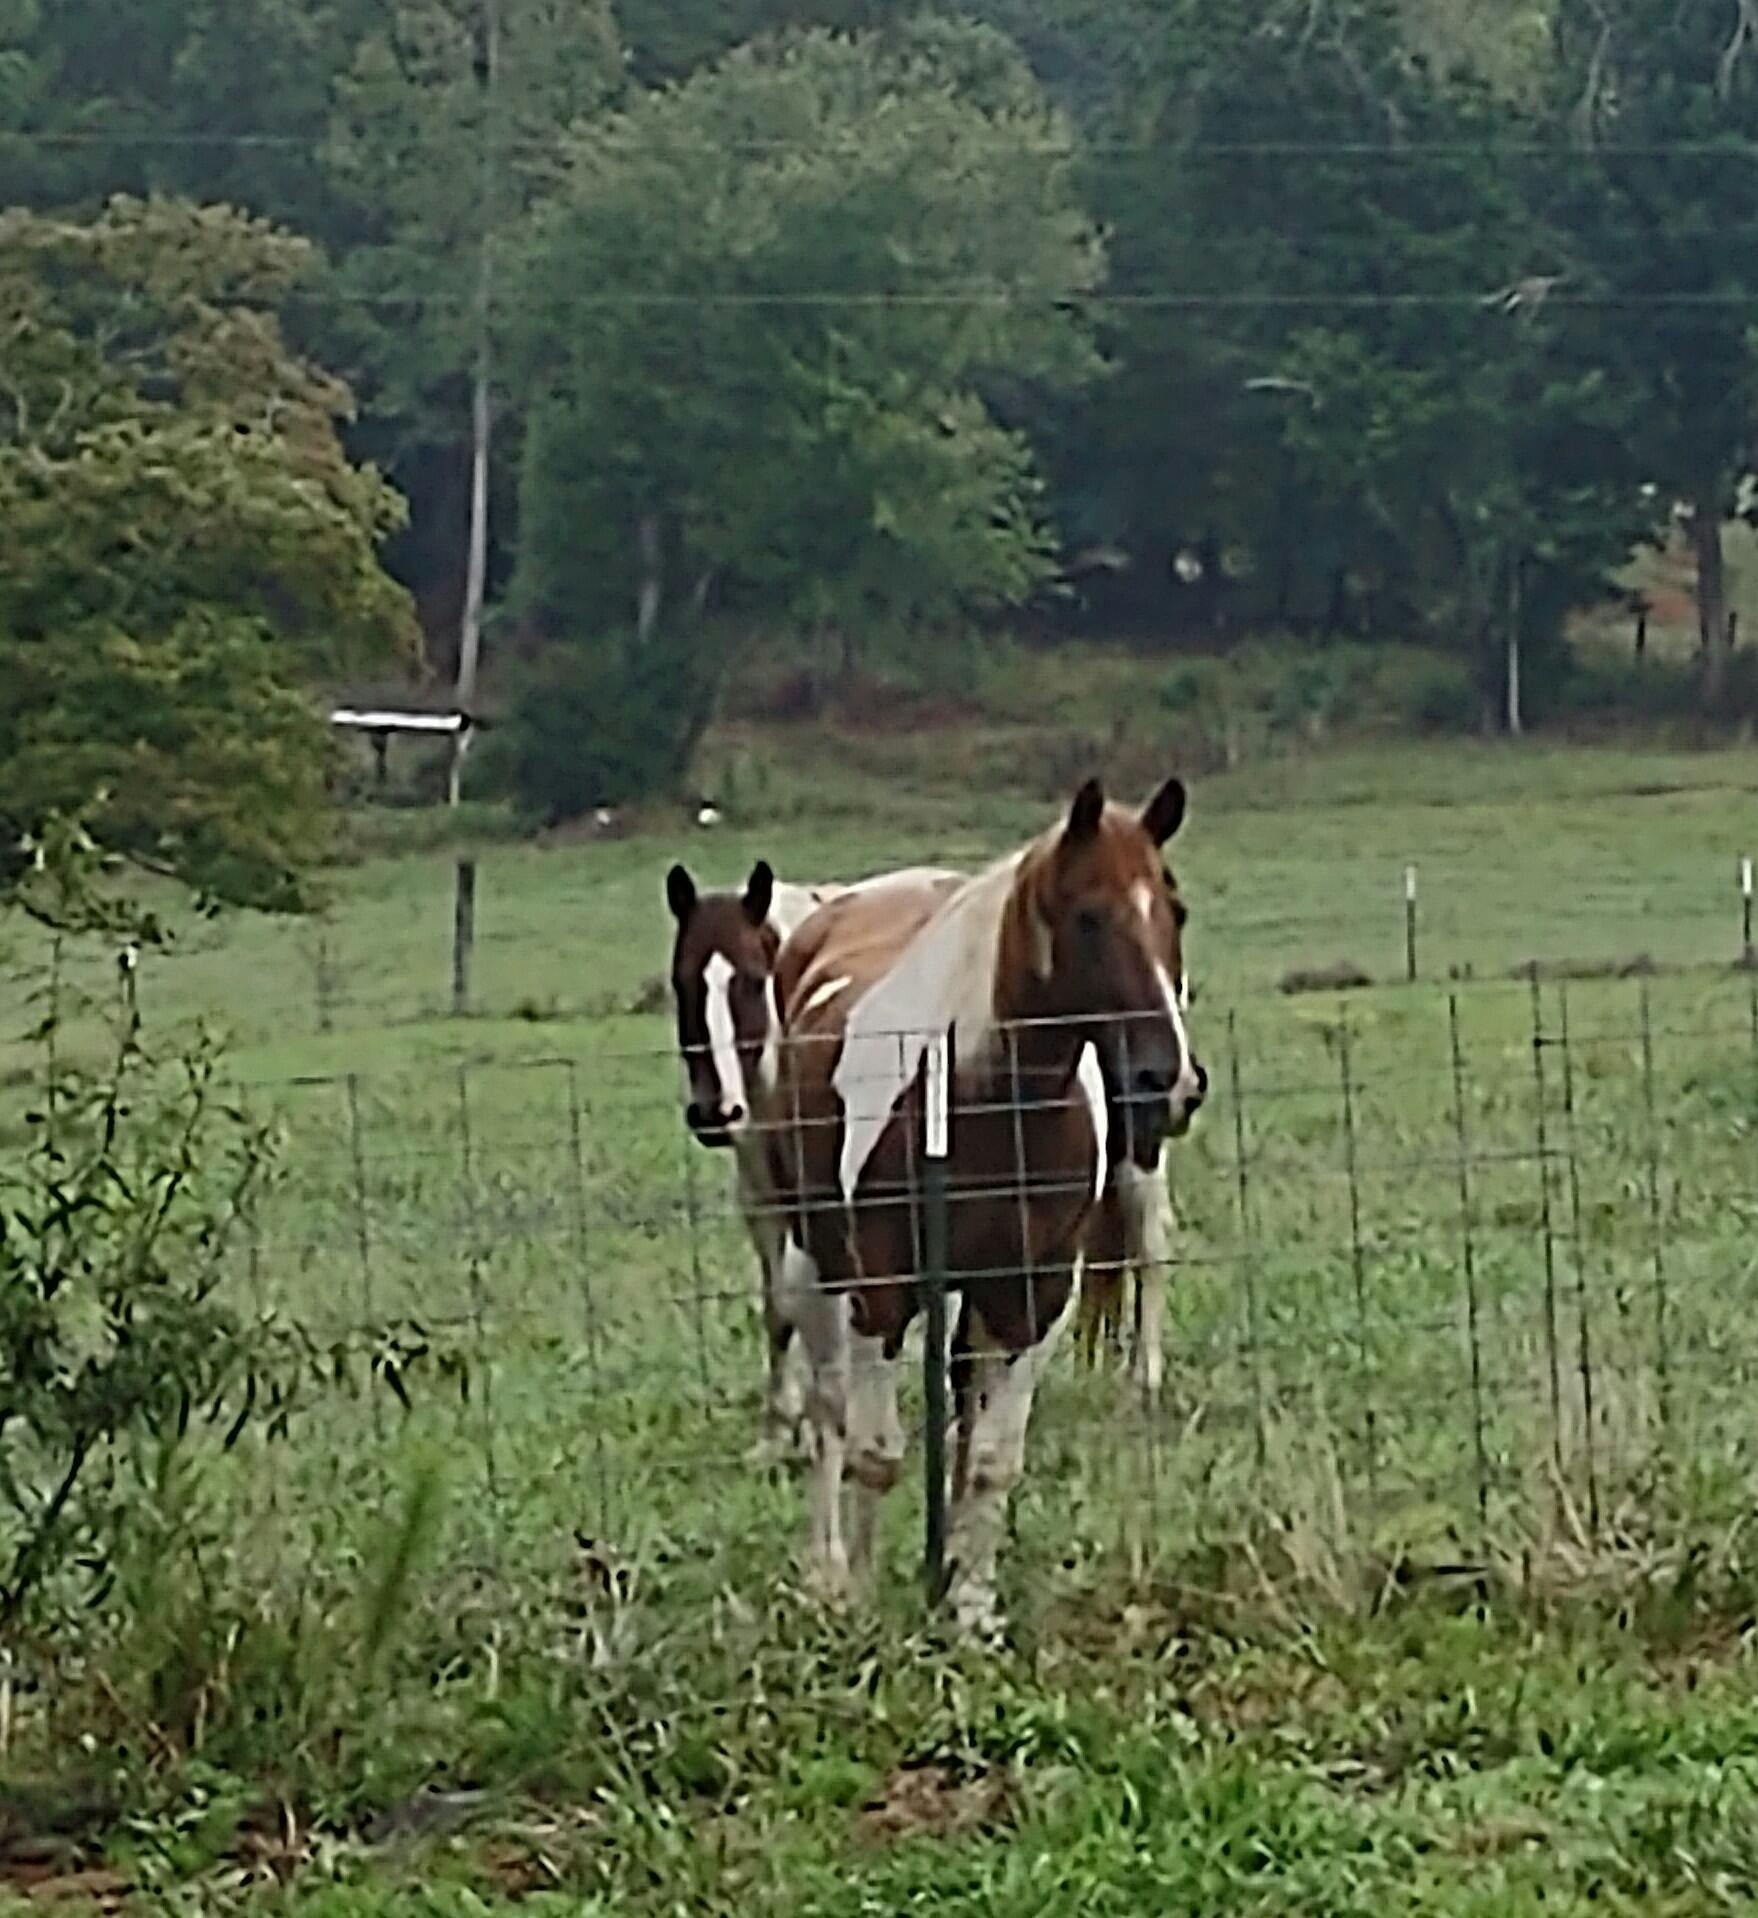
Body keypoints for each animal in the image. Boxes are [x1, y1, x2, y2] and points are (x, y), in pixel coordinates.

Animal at [760, 777, 1204, 1634]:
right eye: (1088, 916)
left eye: (1176, 908)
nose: (1169, 1080)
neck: (974, 1094)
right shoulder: (879, 1289)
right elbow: (874, 1452)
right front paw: (864, 1601)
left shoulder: (1032, 1293)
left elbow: (994, 1458)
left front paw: (970, 1608)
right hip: (811, 1264)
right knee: (829, 1411)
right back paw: (828, 1573)